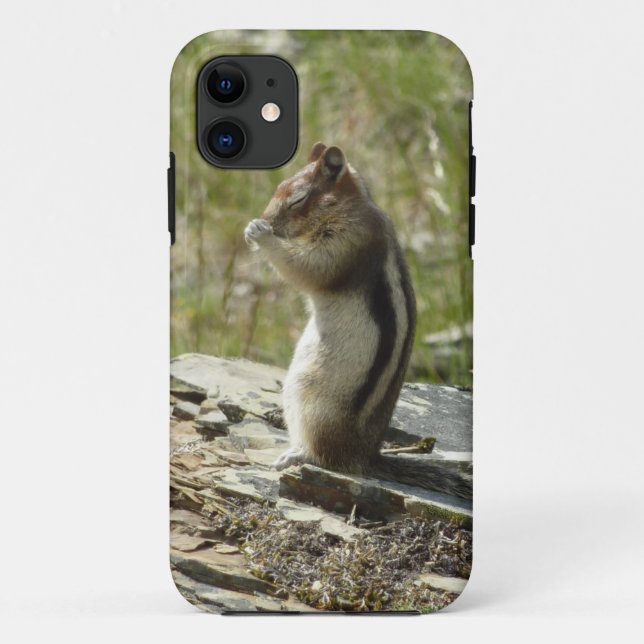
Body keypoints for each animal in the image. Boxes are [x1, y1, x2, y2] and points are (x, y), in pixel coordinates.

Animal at [244, 142, 472, 500]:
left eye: (297, 199)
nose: (267, 219)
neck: (349, 207)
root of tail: (366, 455)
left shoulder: (347, 241)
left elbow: (309, 267)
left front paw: (261, 234)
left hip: (310, 402)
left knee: (325, 457)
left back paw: (295, 454)